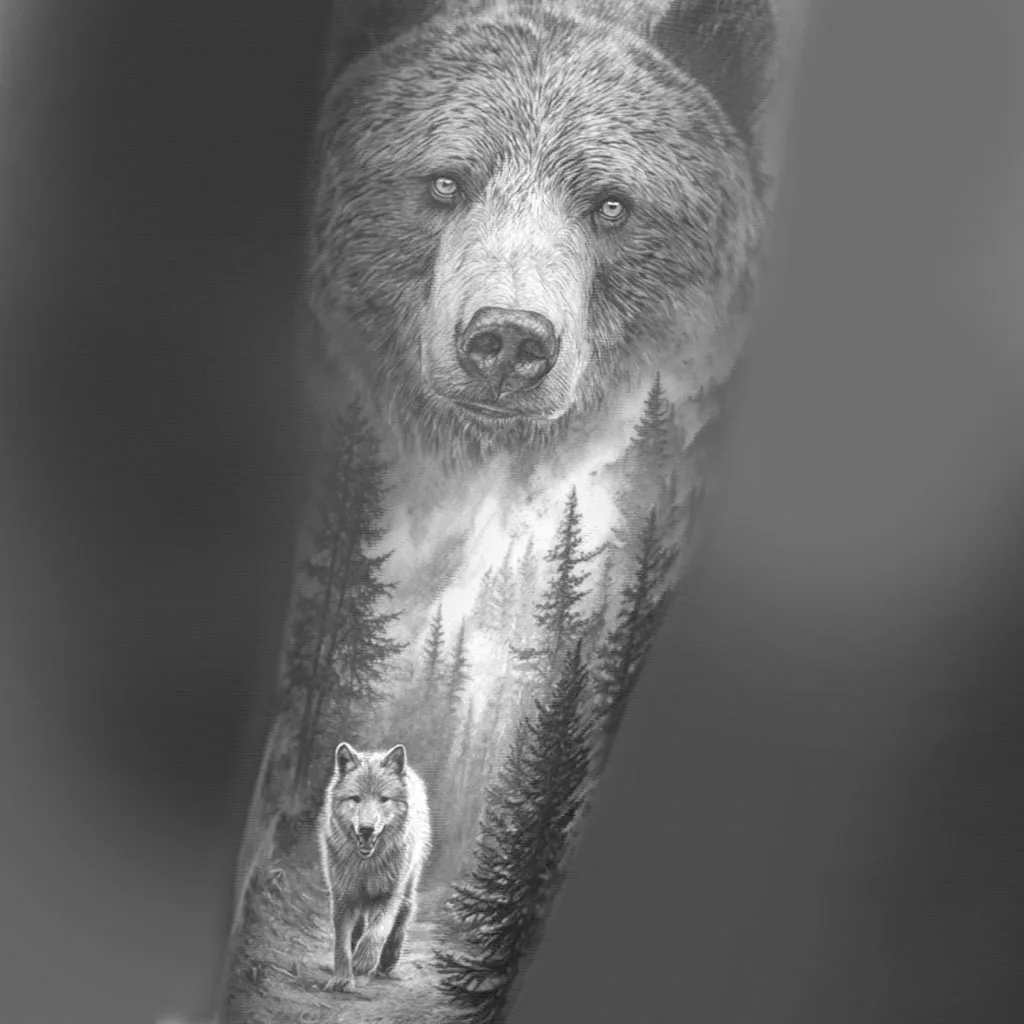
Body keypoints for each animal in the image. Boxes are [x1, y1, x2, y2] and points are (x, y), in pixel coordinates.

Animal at [317, 742, 431, 992]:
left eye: (383, 799)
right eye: (355, 798)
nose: (366, 829)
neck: (366, 865)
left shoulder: (389, 895)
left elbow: (377, 932)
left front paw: (363, 962)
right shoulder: (342, 897)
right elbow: (341, 943)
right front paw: (342, 978)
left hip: (407, 888)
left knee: (401, 919)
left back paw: (387, 961)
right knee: (359, 926)